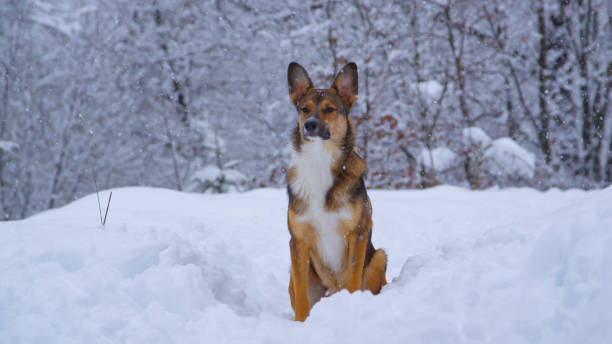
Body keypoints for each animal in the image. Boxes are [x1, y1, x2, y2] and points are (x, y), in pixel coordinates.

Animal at [286, 62, 388, 322]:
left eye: (330, 109)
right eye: (304, 109)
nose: (309, 125)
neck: (320, 160)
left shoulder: (358, 232)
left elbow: (352, 280)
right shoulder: (298, 241)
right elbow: (301, 297)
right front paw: (300, 324)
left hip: (379, 257)